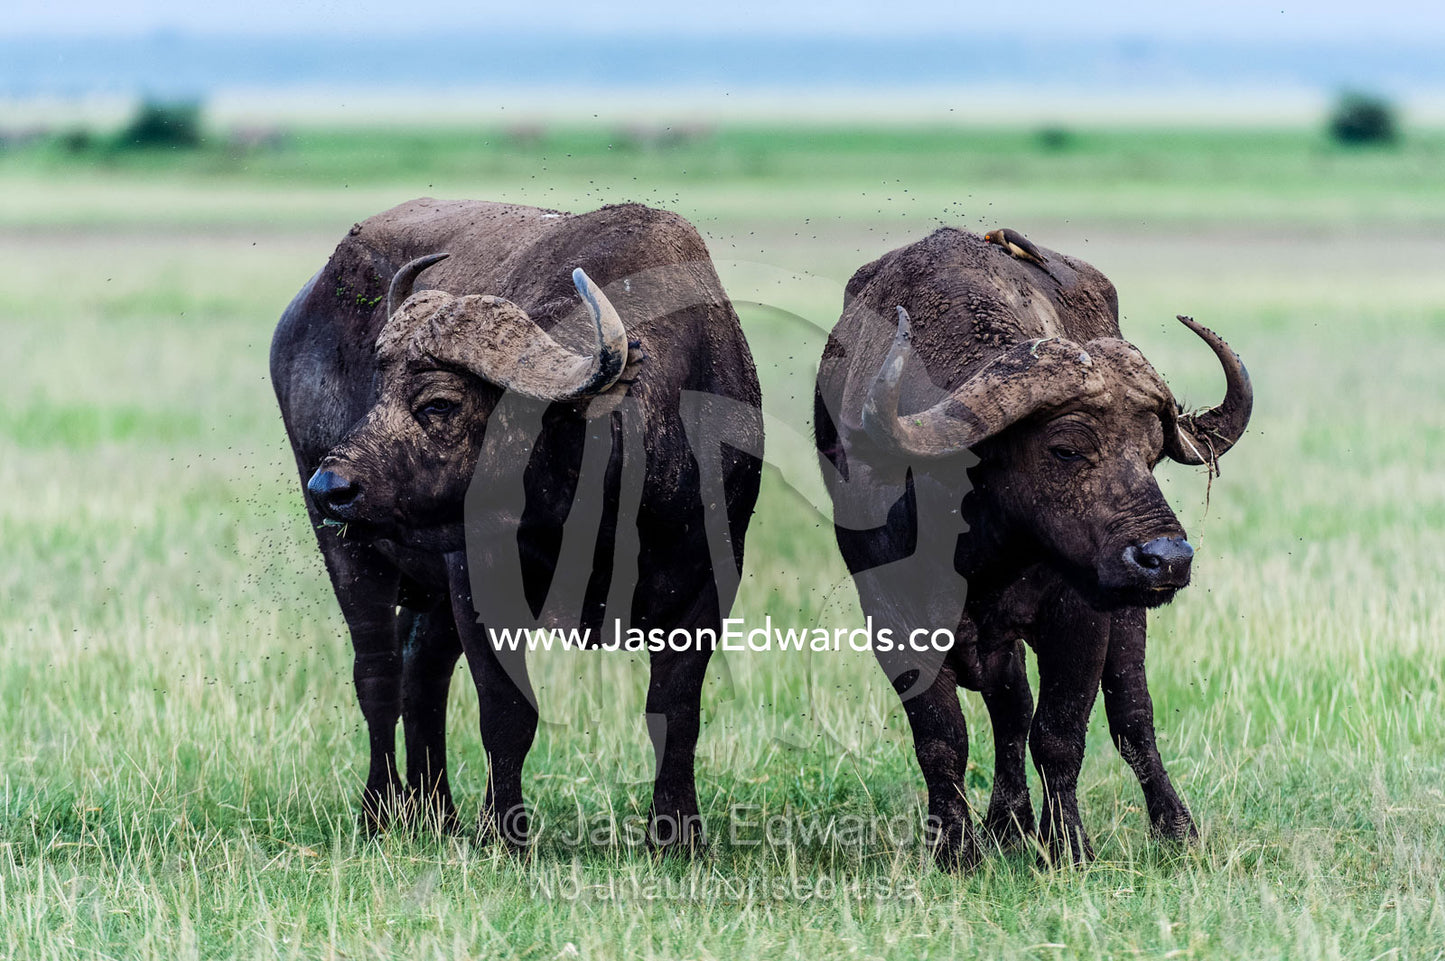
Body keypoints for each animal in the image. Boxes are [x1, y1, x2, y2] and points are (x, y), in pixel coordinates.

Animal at [271, 199, 763, 848]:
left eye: (439, 403)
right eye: (379, 392)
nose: (330, 487)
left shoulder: (707, 586)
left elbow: (675, 711)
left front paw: (678, 835)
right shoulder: (478, 581)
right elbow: (507, 711)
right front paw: (505, 834)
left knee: (421, 673)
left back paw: (435, 814)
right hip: (350, 551)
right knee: (377, 675)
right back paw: (379, 811)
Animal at [813, 227, 1251, 866]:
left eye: (1153, 453)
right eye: (1066, 448)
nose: (1167, 559)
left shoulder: (1082, 612)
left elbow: (1061, 733)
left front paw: (1069, 845)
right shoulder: (892, 613)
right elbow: (942, 736)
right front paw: (955, 849)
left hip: (1124, 616)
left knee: (1131, 716)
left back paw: (1173, 830)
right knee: (1011, 709)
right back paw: (1006, 824)